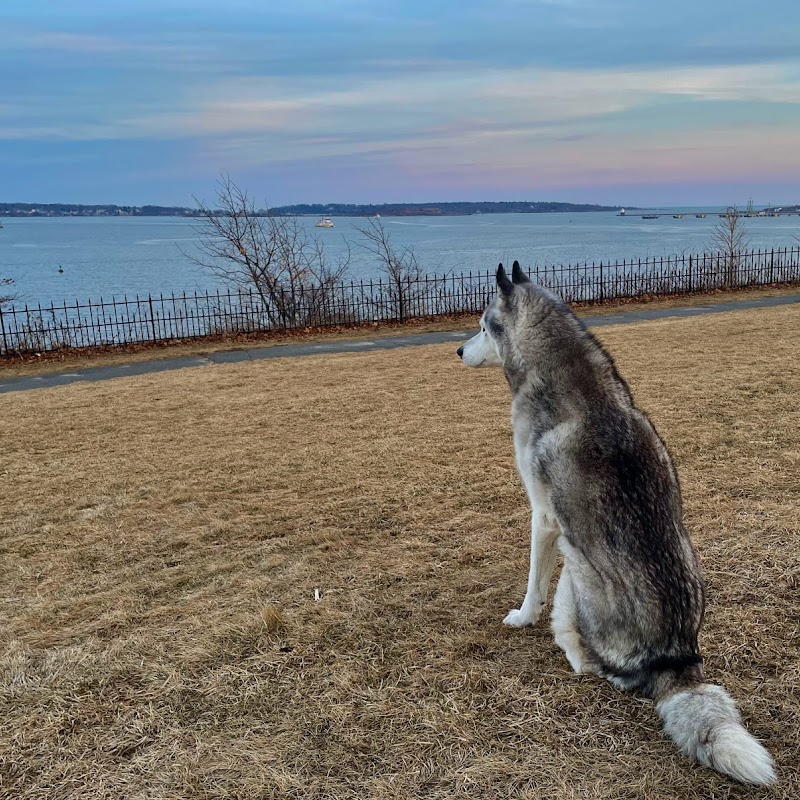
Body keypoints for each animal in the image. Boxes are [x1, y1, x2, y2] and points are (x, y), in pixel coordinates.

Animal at [456, 264, 776, 788]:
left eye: (483, 326)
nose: (457, 351)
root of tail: (674, 659)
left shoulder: (543, 517)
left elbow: (532, 582)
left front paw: (522, 617)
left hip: (575, 569)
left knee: (589, 662)